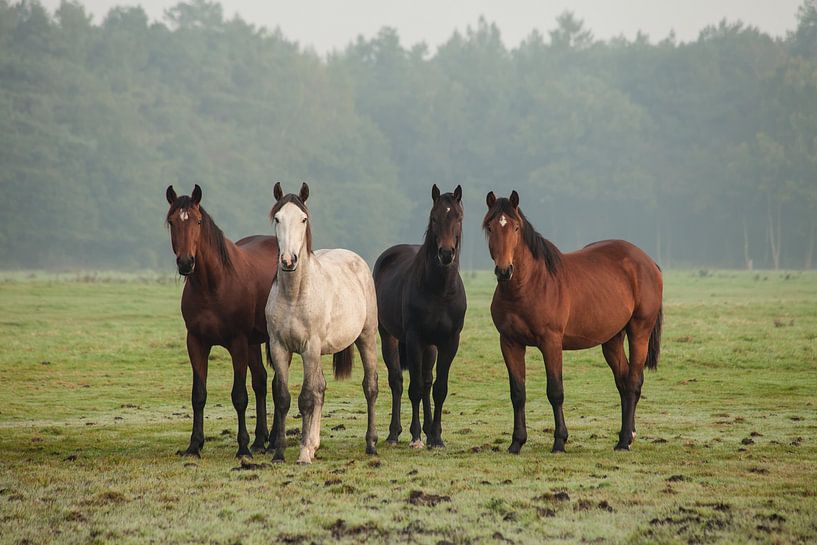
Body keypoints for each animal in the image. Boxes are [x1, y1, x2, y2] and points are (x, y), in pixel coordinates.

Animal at [165, 184, 279, 458]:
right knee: (260, 381)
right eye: (172, 221)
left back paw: (270, 442)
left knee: (274, 383)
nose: (186, 263)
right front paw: (194, 445)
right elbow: (198, 395)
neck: (213, 285)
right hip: (254, 343)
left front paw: (242, 448)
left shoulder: (237, 342)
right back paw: (261, 440)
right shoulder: (196, 342)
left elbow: (239, 396)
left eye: (197, 221)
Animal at [264, 182, 379, 464]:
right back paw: (316, 443)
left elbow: (306, 398)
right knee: (321, 389)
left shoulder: (310, 348)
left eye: (303, 219)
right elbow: (283, 398)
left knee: (370, 386)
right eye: (277, 218)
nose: (288, 260)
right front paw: (280, 453)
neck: (294, 295)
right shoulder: (279, 348)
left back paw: (371, 444)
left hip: (366, 337)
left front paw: (303, 453)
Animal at [373, 184, 467, 448]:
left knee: (426, 382)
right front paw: (415, 437)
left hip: (430, 348)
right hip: (389, 337)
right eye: (434, 218)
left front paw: (436, 437)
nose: (446, 253)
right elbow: (413, 388)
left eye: (458, 217)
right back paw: (394, 433)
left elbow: (438, 389)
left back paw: (428, 431)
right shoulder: (415, 339)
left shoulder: (448, 342)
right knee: (397, 381)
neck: (439, 290)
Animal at [483, 190, 663, 453]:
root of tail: (649, 262)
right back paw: (627, 436)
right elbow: (518, 393)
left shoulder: (551, 343)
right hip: (612, 339)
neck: (528, 286)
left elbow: (555, 391)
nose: (504, 271)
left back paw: (623, 441)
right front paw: (516, 443)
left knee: (632, 383)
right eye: (490, 227)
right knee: (623, 382)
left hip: (639, 331)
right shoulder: (510, 343)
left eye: (515, 227)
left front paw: (559, 441)